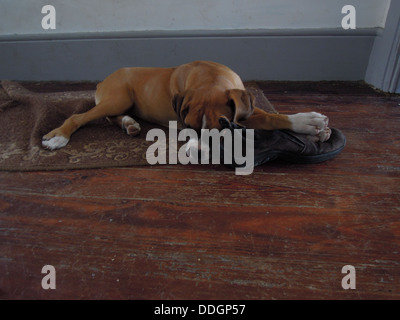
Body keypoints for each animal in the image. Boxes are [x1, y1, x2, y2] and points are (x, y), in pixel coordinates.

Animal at [41, 61, 332, 150]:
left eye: (221, 127)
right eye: (189, 127)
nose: (196, 152)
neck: (211, 77)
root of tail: (104, 80)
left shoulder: (240, 110)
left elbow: (270, 115)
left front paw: (309, 123)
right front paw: (310, 124)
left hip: (119, 103)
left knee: (110, 117)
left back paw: (130, 124)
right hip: (118, 97)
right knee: (79, 117)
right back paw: (58, 137)